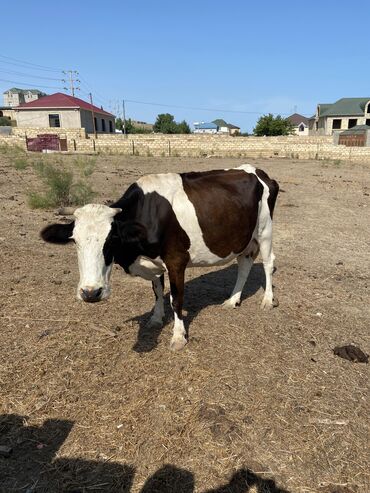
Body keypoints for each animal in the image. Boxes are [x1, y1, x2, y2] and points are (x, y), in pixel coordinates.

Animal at [40, 165, 278, 350]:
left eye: (111, 240)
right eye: (75, 241)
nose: (90, 293)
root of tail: (258, 171)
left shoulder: (176, 261)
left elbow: (176, 298)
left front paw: (178, 337)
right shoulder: (153, 262)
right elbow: (156, 290)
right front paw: (156, 318)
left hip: (265, 230)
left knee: (268, 263)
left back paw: (267, 300)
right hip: (244, 239)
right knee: (244, 265)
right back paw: (232, 300)